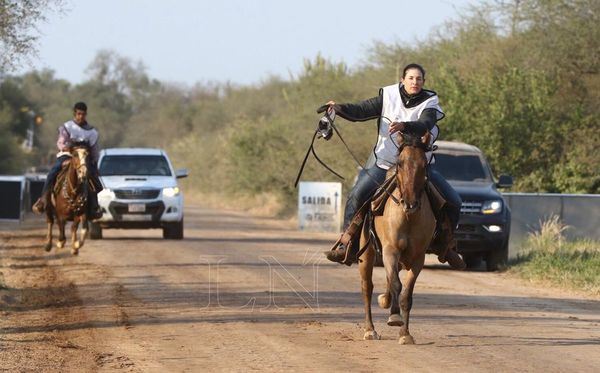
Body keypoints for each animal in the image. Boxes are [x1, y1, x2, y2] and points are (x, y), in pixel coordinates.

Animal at [356, 131, 436, 342]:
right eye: (400, 163)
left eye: (424, 164)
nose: (410, 203)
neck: (408, 217)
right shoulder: (390, 251)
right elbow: (396, 285)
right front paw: (394, 317)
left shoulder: (418, 258)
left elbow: (406, 294)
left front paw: (405, 334)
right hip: (367, 254)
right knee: (367, 287)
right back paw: (370, 329)